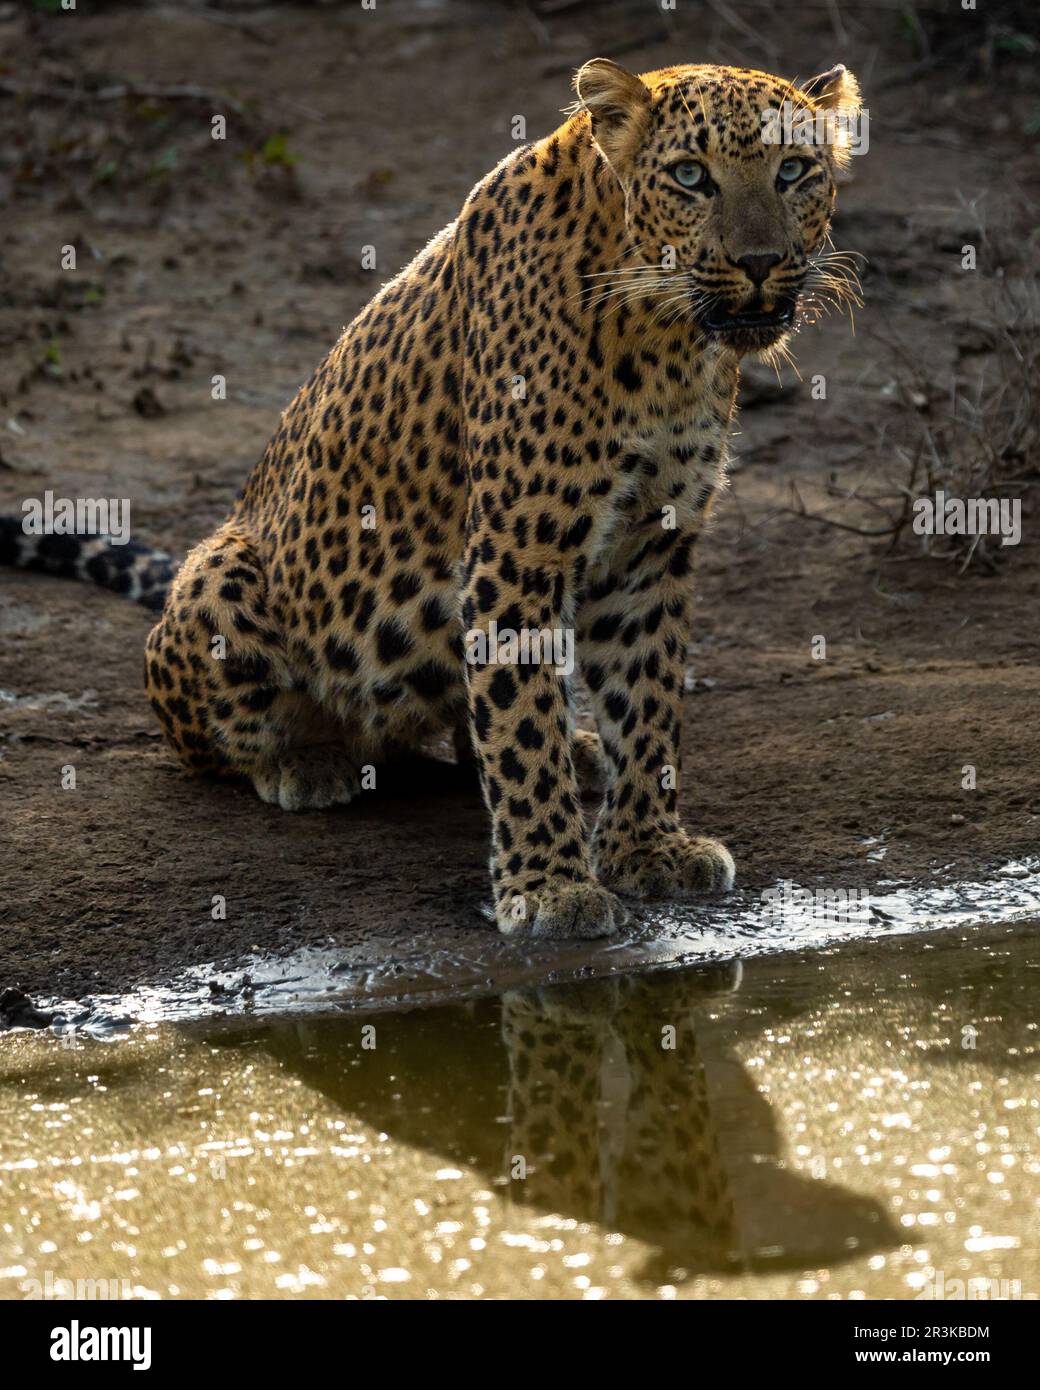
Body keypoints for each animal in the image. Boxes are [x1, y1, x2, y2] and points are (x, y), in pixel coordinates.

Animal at [2, 59, 862, 939]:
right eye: (691, 176)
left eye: (794, 172)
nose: (759, 260)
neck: (667, 341)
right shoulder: (519, 547)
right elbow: (521, 725)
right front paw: (550, 886)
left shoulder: (651, 545)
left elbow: (646, 701)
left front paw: (646, 848)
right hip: (222, 571)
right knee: (216, 738)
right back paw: (306, 759)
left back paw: (576, 747)